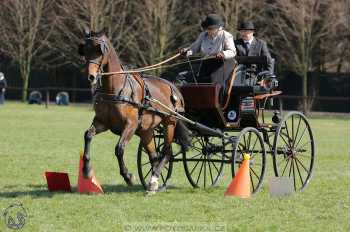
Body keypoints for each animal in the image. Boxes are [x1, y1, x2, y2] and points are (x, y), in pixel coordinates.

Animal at [78, 29, 190, 193]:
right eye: (84, 50)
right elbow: (88, 135)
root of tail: (173, 86)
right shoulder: (102, 122)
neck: (115, 89)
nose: (91, 76)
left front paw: (128, 176)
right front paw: (86, 170)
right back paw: (154, 181)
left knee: (167, 152)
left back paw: (154, 179)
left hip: (170, 123)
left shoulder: (130, 125)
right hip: (146, 131)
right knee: (154, 156)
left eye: (99, 51)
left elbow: (119, 148)